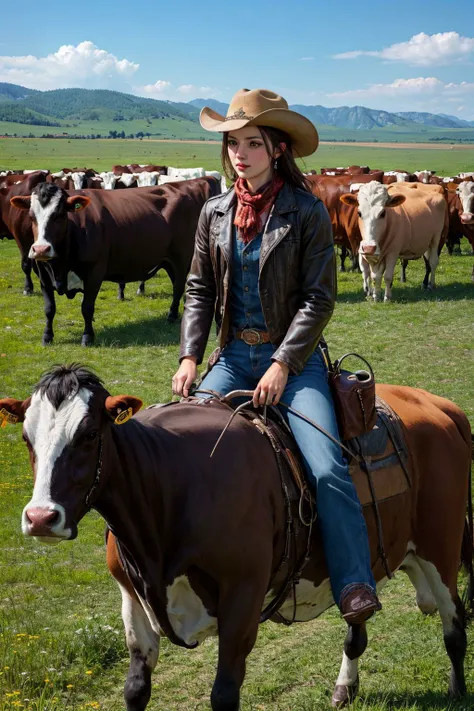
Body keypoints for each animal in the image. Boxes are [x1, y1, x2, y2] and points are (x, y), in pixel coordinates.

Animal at [1, 364, 472, 708]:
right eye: (26, 437)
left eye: (88, 434)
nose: (41, 517)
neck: (167, 487)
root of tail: (437, 404)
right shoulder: (132, 598)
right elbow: (135, 689)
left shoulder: (243, 598)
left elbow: (224, 694)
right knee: (357, 625)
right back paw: (345, 686)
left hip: (441, 546)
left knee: (454, 621)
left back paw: (456, 689)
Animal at [9, 177, 220, 344]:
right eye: (31, 216)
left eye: (59, 215)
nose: (41, 249)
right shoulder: (43, 274)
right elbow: (49, 309)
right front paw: (47, 336)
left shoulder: (94, 273)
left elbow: (87, 307)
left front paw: (87, 337)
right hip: (168, 260)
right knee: (178, 285)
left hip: (182, 258)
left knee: (177, 287)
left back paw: (171, 315)